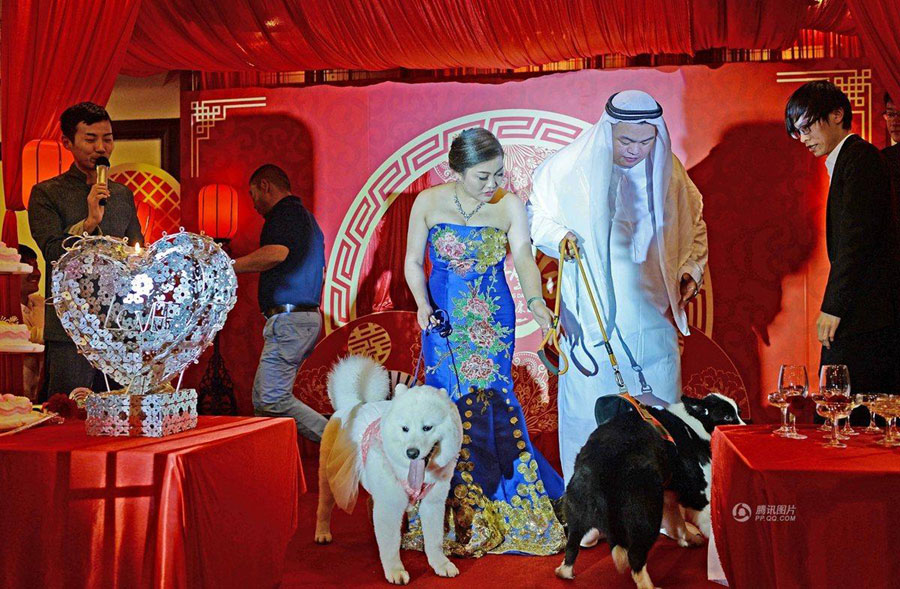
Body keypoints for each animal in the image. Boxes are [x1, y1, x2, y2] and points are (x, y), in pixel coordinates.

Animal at [314, 354, 460, 584]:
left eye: (427, 427)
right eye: (405, 428)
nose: (412, 452)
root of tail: (353, 405)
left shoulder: (433, 503)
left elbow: (434, 541)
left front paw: (441, 564)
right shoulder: (390, 506)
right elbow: (390, 546)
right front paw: (395, 571)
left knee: (368, 502)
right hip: (329, 476)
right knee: (324, 507)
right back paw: (322, 533)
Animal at [556, 390, 744, 588]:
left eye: (738, 412)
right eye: (727, 417)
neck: (694, 424)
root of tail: (600, 468)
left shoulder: (669, 493)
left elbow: (677, 523)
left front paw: (689, 539)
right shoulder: (696, 491)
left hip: (578, 509)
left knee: (572, 544)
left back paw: (564, 572)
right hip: (646, 515)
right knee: (635, 556)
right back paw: (650, 585)